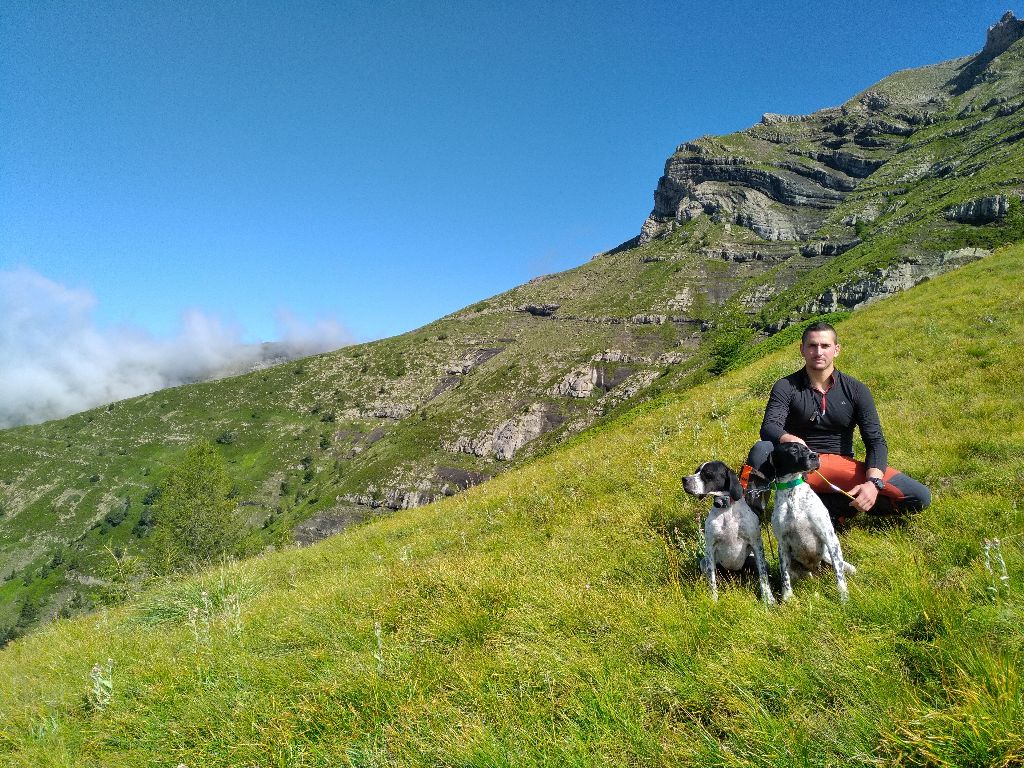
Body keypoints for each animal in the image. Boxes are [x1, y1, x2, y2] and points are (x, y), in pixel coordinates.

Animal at [684, 460, 770, 606]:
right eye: (696, 471)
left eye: (707, 473)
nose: (684, 479)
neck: (727, 510)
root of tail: (733, 576)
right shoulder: (710, 549)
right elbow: (712, 581)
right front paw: (714, 600)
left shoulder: (756, 545)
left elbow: (763, 577)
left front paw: (769, 599)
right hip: (704, 562)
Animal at [770, 444, 856, 602]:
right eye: (793, 450)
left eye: (807, 448)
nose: (815, 456)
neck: (792, 493)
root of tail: (815, 572)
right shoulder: (782, 544)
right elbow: (784, 576)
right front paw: (787, 597)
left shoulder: (829, 537)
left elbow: (839, 574)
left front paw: (843, 597)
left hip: (828, 554)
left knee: (841, 565)